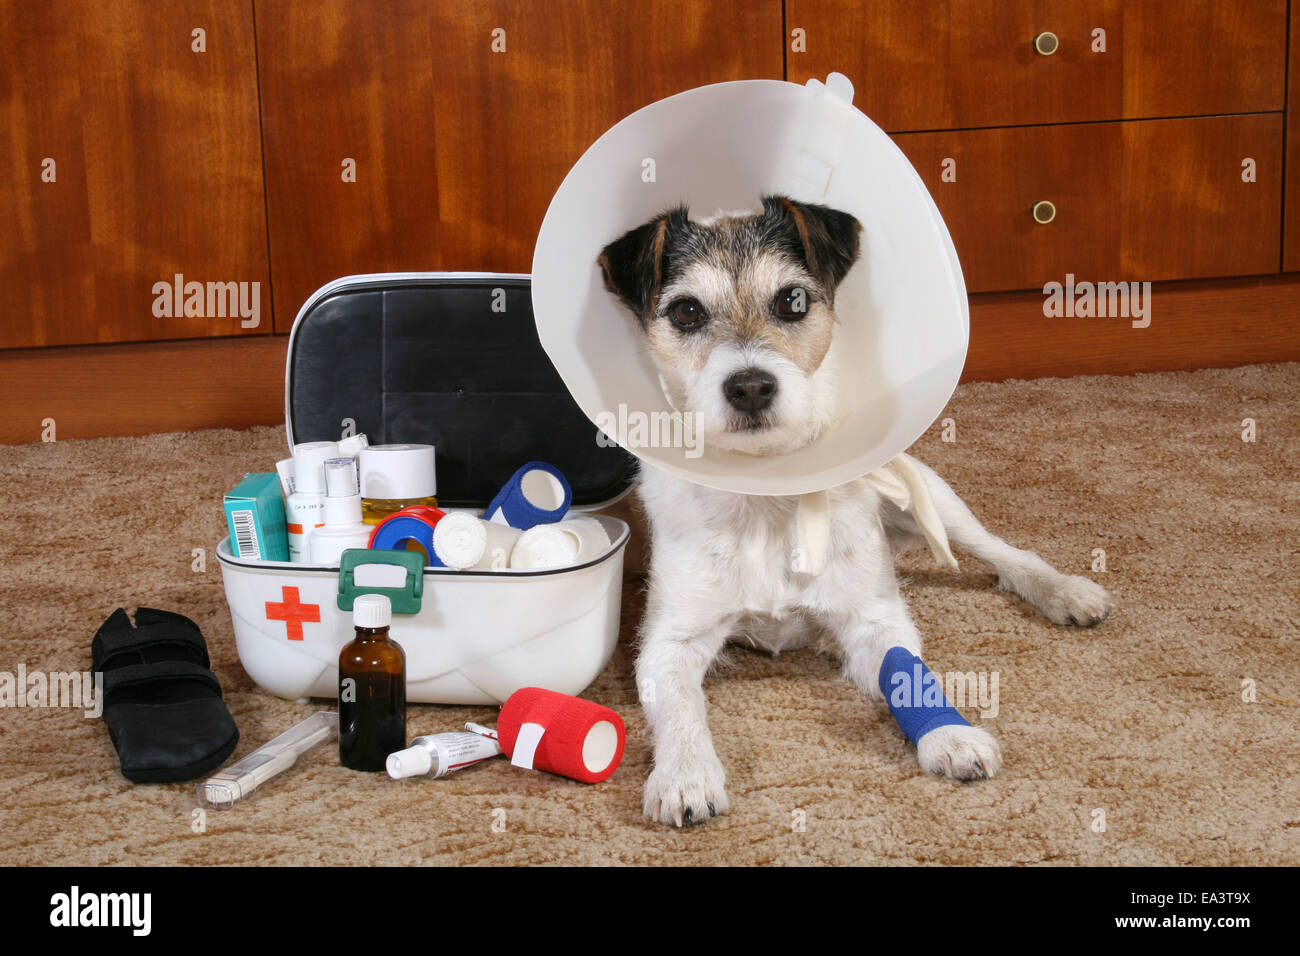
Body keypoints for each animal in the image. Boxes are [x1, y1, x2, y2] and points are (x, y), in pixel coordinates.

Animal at [595, 197, 1112, 827]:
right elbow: (681, 708)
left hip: (930, 498)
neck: (767, 498)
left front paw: (949, 736)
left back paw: (1065, 591)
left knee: (1006, 554)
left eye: (792, 300)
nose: (750, 387)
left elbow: (908, 677)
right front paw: (685, 775)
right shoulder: (670, 643)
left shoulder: (876, 623)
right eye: (687, 311)